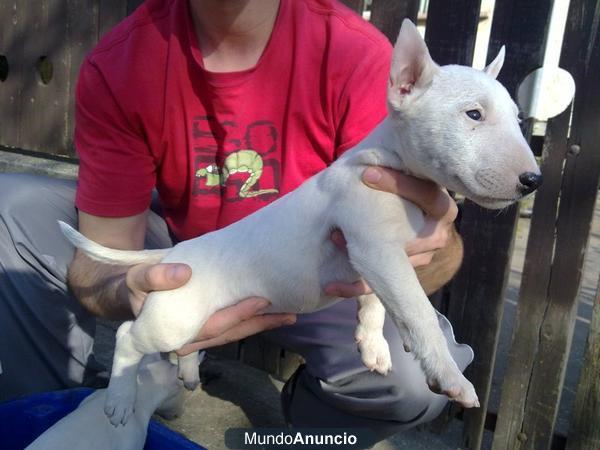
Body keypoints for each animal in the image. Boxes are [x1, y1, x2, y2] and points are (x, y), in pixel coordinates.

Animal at [59, 21, 540, 428]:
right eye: (473, 114)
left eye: (518, 119)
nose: (532, 181)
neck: (392, 161)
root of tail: (177, 252)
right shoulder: (376, 248)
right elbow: (417, 312)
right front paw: (452, 378)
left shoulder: (377, 258)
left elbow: (377, 302)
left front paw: (372, 345)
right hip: (173, 316)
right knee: (127, 336)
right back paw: (119, 400)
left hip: (197, 320)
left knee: (185, 346)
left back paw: (190, 372)